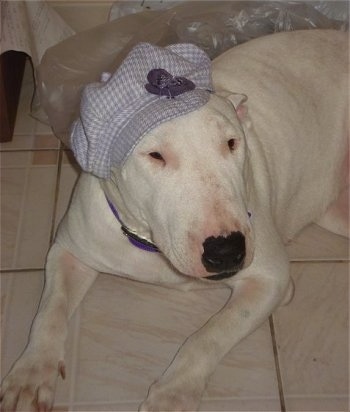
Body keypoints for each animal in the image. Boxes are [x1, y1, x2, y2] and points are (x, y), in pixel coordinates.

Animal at [0, 29, 348, 412]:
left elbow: (209, 334)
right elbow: (50, 309)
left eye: (232, 142)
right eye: (155, 155)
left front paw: (173, 393)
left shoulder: (271, 279)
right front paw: (31, 374)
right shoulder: (68, 251)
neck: (153, 247)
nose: (226, 251)